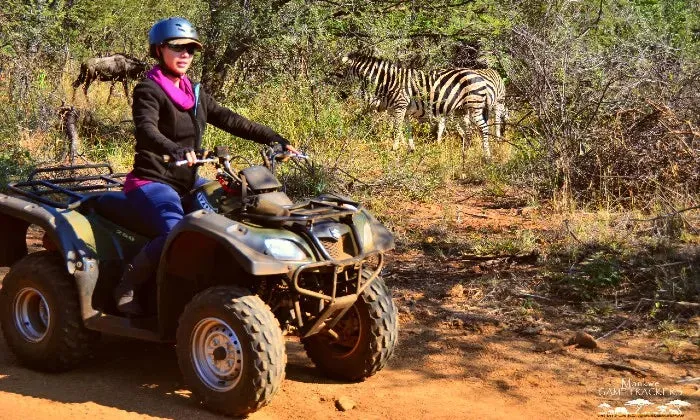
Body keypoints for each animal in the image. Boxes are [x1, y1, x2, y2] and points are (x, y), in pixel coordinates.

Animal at [342, 52, 506, 158]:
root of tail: (480, 76)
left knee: (484, 128)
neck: (390, 80)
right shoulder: (404, 110)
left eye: (342, 72)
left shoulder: (400, 105)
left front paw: (394, 148)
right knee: (469, 131)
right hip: (462, 110)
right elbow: (406, 129)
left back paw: (487, 155)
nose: (343, 94)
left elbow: (397, 128)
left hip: (475, 105)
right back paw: (465, 152)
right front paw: (411, 148)